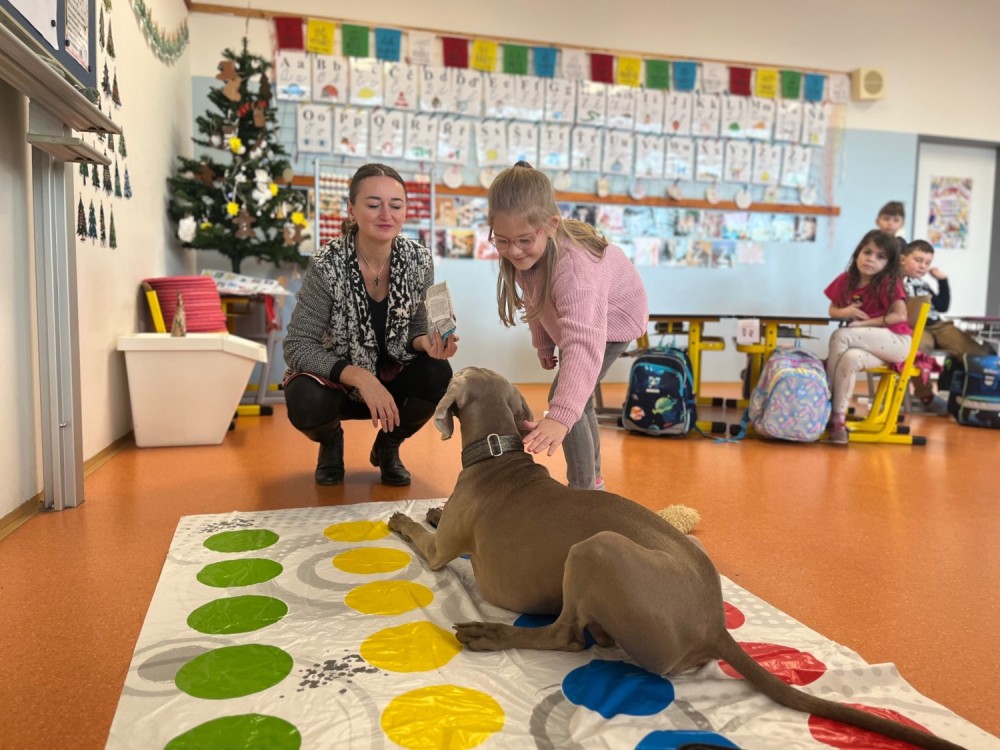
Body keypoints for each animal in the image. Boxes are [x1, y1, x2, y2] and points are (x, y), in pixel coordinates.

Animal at [388, 367, 965, 750]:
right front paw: (432, 508)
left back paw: (492, 633)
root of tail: (715, 626)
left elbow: (421, 536)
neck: (499, 452)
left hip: (595, 550)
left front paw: (401, 518)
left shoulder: (439, 554)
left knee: (566, 636)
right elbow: (436, 517)